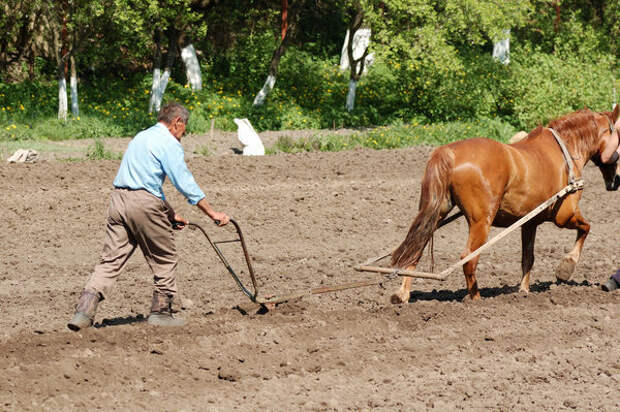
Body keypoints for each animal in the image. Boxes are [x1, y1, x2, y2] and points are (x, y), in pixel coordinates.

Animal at [392, 106, 620, 302]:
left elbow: (528, 258)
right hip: (481, 222)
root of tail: (450, 152)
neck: (566, 151)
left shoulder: (529, 223)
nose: (616, 181)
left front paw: (524, 291)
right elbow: (586, 228)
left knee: (415, 250)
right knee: (469, 258)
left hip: (437, 212)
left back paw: (402, 294)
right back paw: (475, 298)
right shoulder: (564, 215)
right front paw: (566, 267)